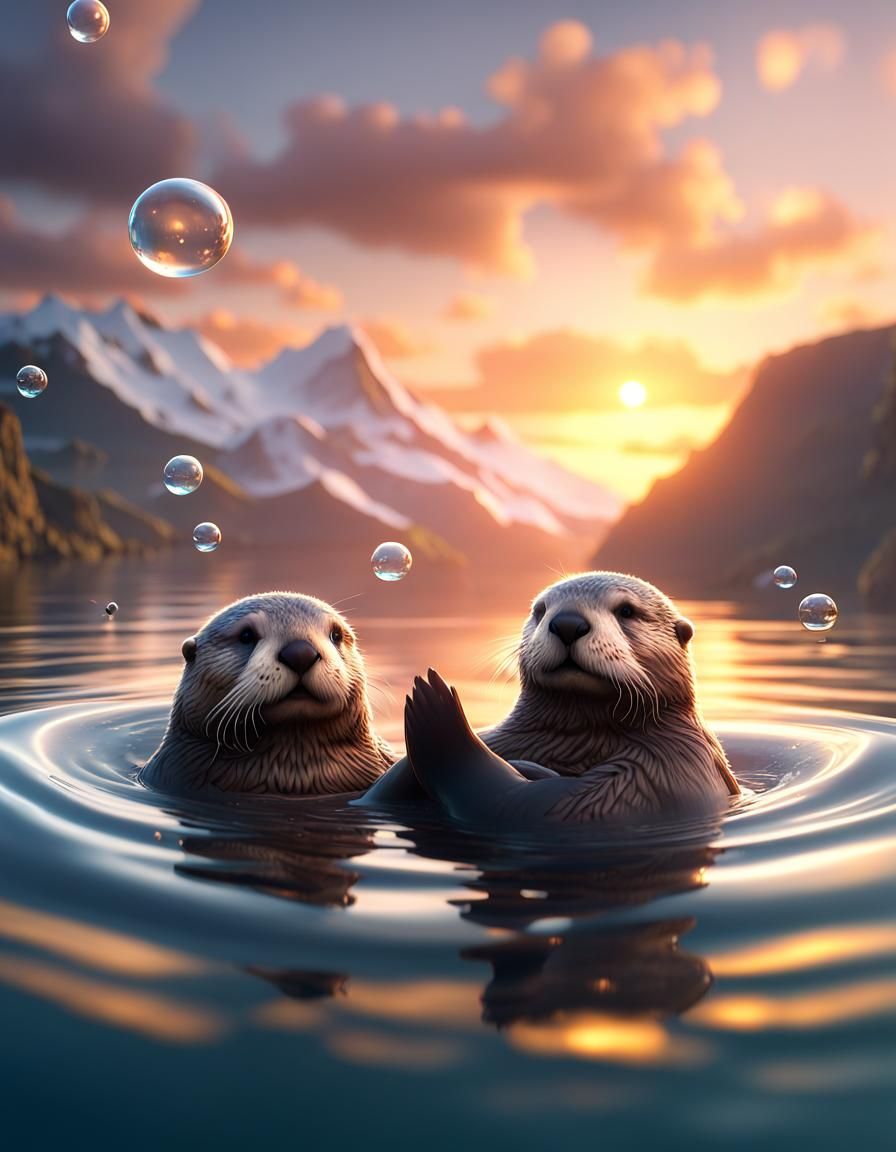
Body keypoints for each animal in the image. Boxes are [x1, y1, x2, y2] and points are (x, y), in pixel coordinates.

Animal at [362, 572, 738, 825]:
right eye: (541, 610)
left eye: (626, 611)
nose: (568, 622)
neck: (578, 742)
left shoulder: (661, 775)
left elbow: (534, 806)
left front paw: (438, 711)